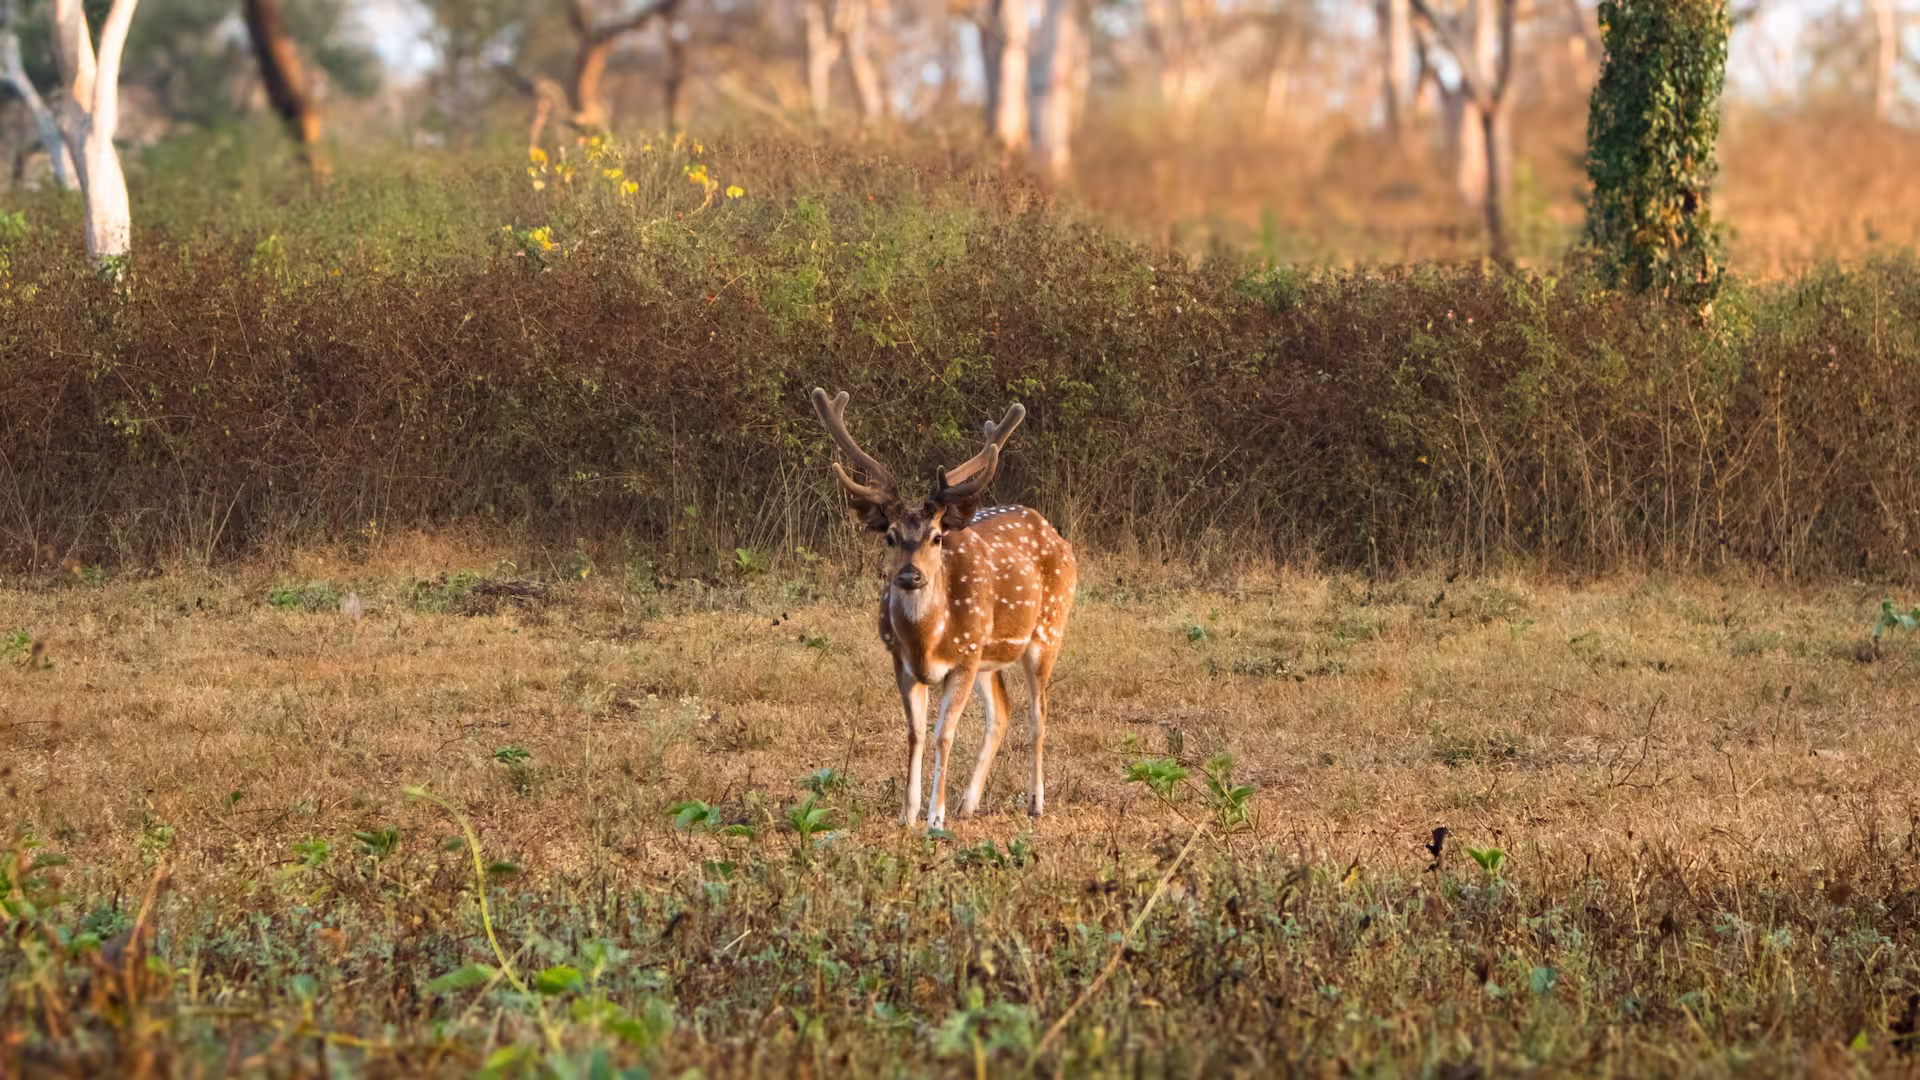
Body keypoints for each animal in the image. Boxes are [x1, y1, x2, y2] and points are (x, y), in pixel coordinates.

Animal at [810, 388, 1077, 829]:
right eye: (889, 536)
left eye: (936, 537)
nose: (910, 574)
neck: (926, 641)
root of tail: (1053, 532)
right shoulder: (902, 662)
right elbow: (915, 733)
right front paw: (908, 813)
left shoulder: (963, 660)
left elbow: (943, 733)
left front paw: (935, 818)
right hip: (988, 655)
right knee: (1001, 712)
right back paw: (968, 803)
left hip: (1047, 630)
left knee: (1039, 713)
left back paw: (1035, 802)